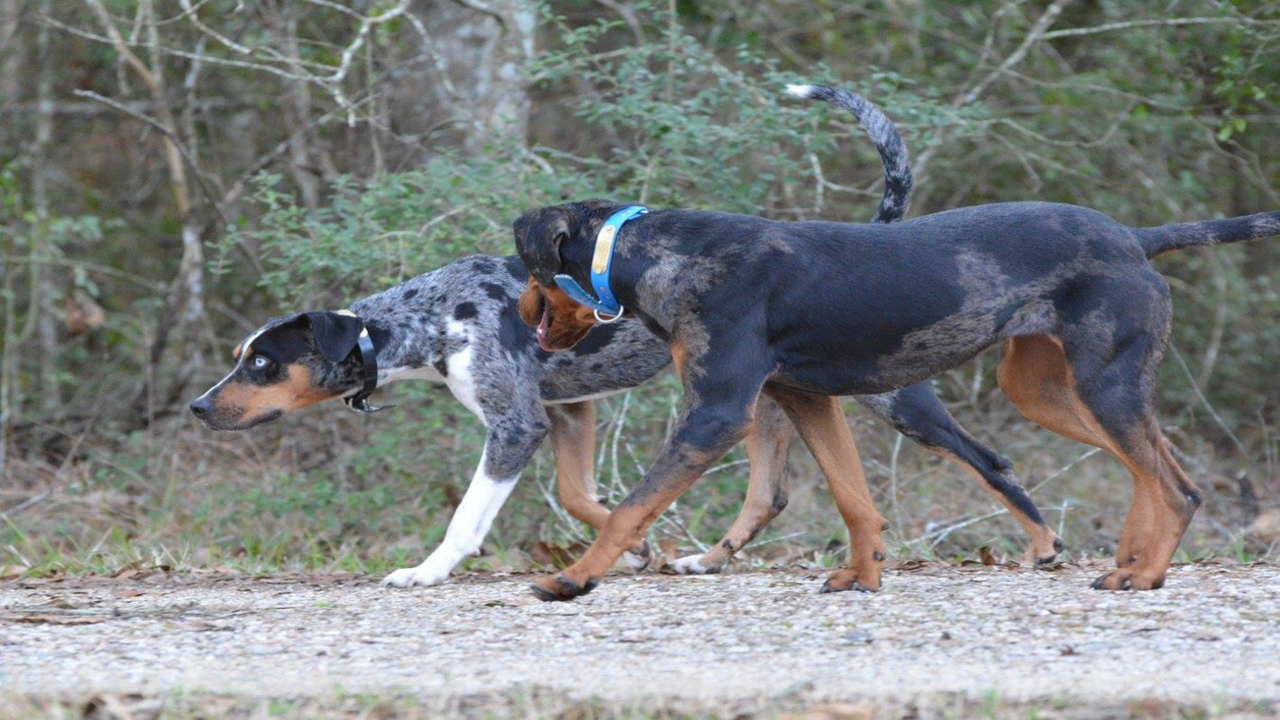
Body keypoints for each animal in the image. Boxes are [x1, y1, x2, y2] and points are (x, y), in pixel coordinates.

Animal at [512, 82, 1280, 599]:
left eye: (530, 271)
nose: (517, 314)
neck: (654, 252)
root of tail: (1136, 239)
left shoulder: (718, 414)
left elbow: (630, 508)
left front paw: (573, 578)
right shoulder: (806, 400)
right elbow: (855, 500)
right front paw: (861, 575)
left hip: (1101, 385)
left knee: (1176, 487)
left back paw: (1144, 575)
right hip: (1047, 392)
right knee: (1149, 468)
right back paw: (1128, 561)